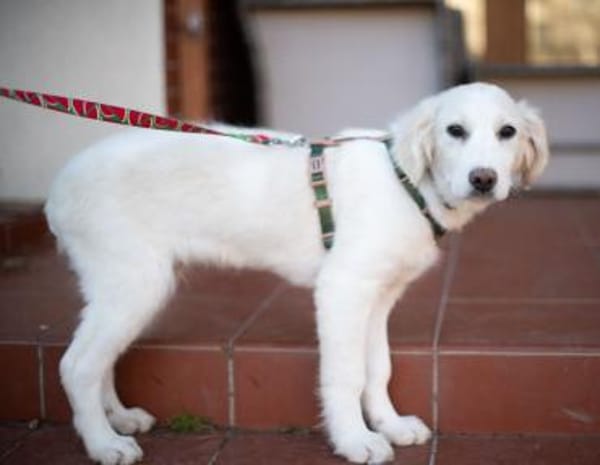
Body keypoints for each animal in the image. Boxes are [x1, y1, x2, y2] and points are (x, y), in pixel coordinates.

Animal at [45, 82, 549, 464]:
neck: (407, 182)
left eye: (507, 132)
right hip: (136, 284)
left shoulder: (377, 297)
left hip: (120, 290)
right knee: (77, 364)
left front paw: (389, 424)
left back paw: (118, 418)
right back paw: (104, 443)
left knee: (99, 359)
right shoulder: (342, 289)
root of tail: (59, 183)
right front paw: (356, 440)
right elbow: (347, 374)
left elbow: (378, 368)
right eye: (454, 131)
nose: (483, 179)